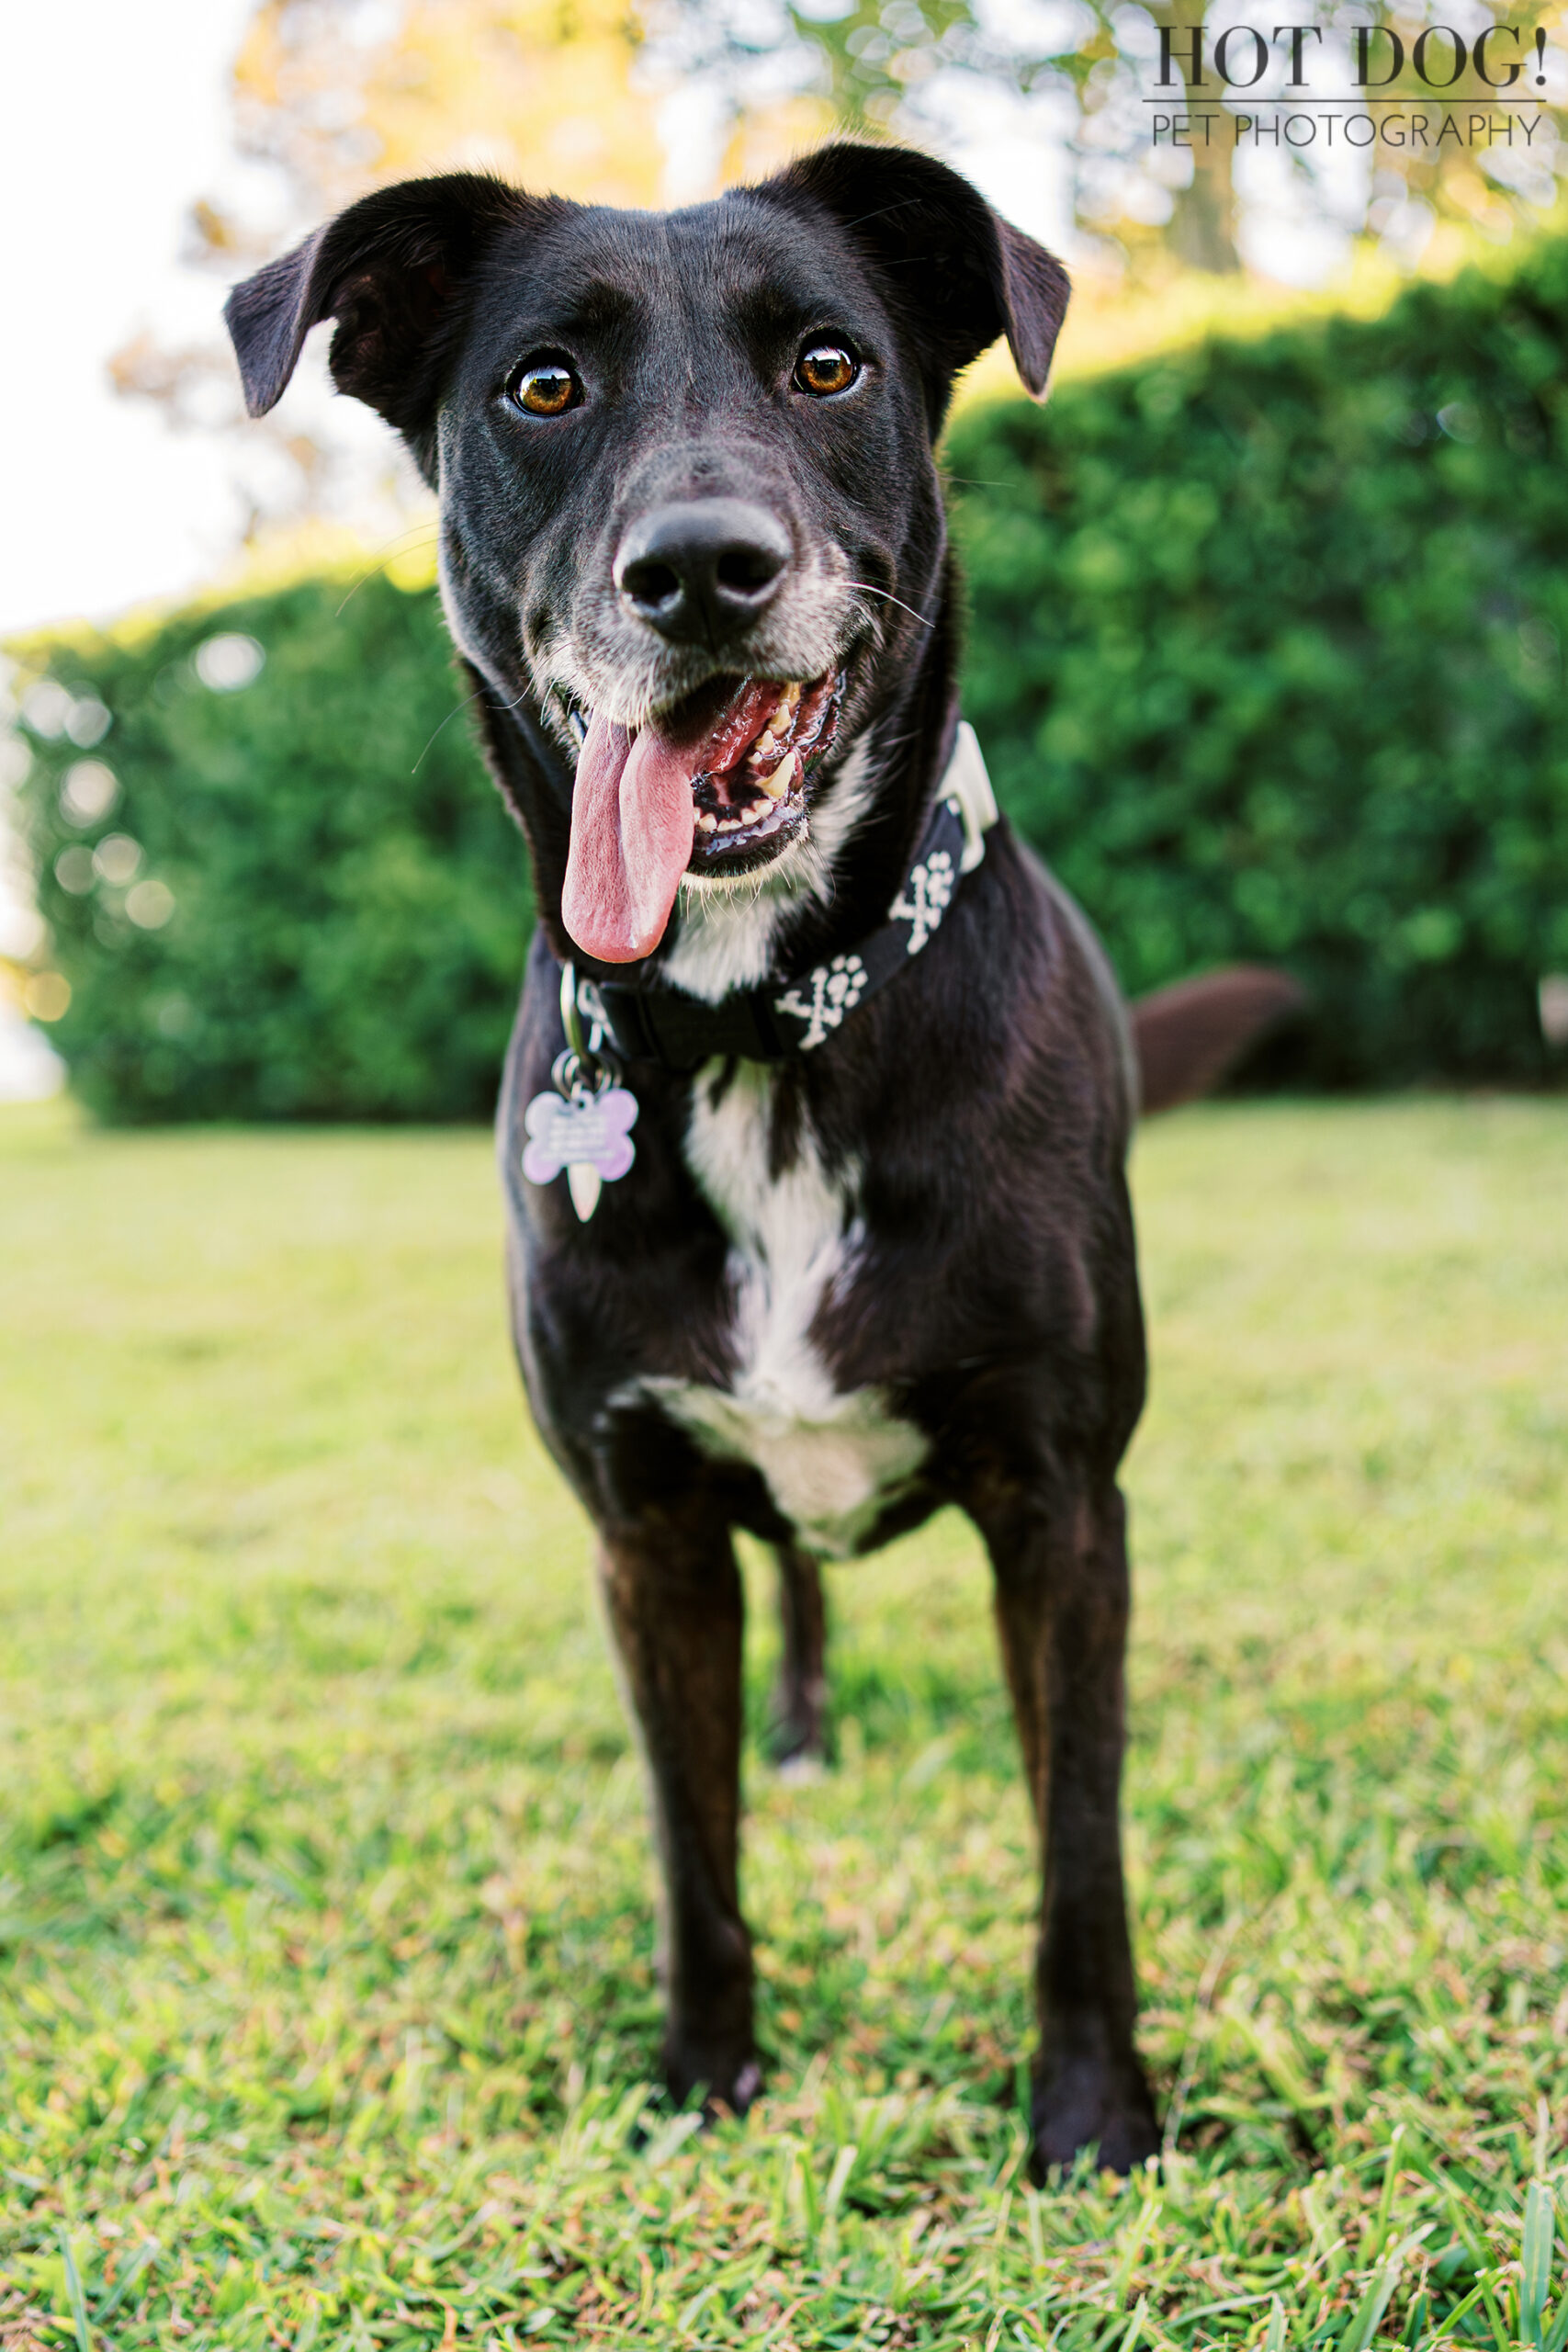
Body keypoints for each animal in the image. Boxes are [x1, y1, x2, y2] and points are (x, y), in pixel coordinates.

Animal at [226, 141, 1297, 2164]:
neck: (751, 1031)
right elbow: (687, 1843)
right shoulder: (641, 1528)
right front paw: (704, 2084)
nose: (703, 569)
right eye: (542, 386)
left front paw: (1090, 2117)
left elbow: (1079, 1849)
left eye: (824, 365)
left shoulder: (1063, 1505)